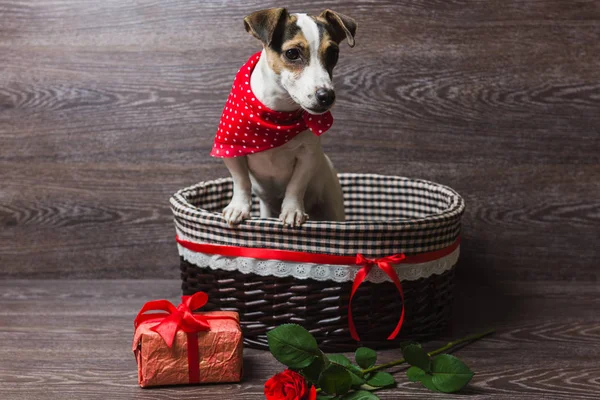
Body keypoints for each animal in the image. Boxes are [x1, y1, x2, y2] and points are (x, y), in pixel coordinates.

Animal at [210, 7, 354, 228]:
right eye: (292, 53)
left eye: (333, 53)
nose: (327, 96)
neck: (277, 116)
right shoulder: (230, 149)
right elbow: (241, 180)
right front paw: (238, 207)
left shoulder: (308, 155)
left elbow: (296, 185)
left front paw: (292, 210)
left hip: (333, 206)